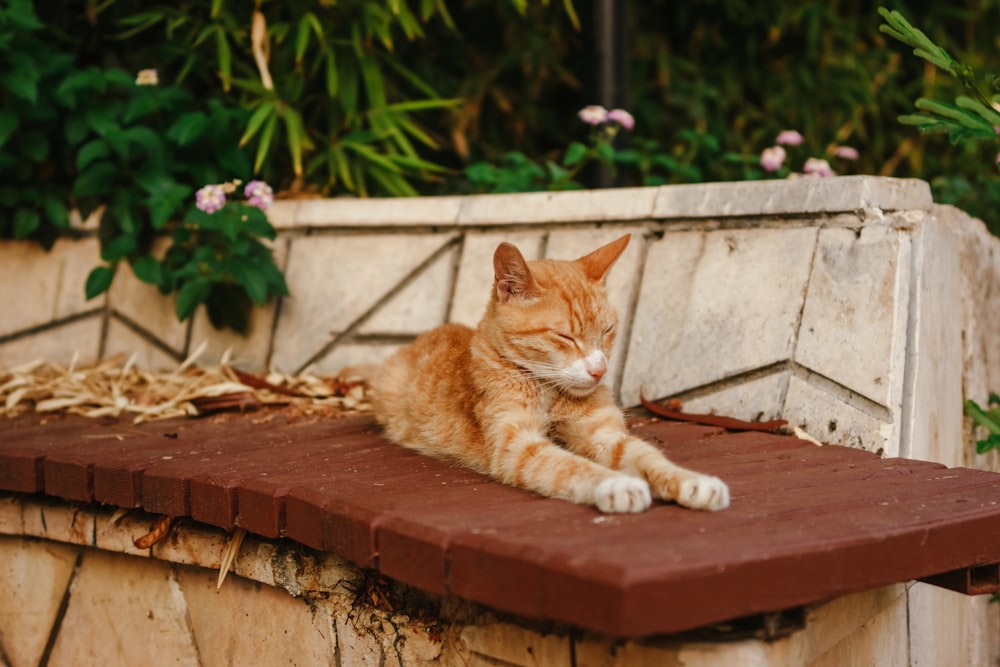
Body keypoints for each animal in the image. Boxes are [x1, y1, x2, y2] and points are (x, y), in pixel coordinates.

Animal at [372, 236, 732, 516]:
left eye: (608, 331)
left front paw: (693, 481)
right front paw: (617, 484)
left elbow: (648, 457)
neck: (551, 392)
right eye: (566, 337)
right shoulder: (518, 445)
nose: (599, 370)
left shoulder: (603, 433)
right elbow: (569, 466)